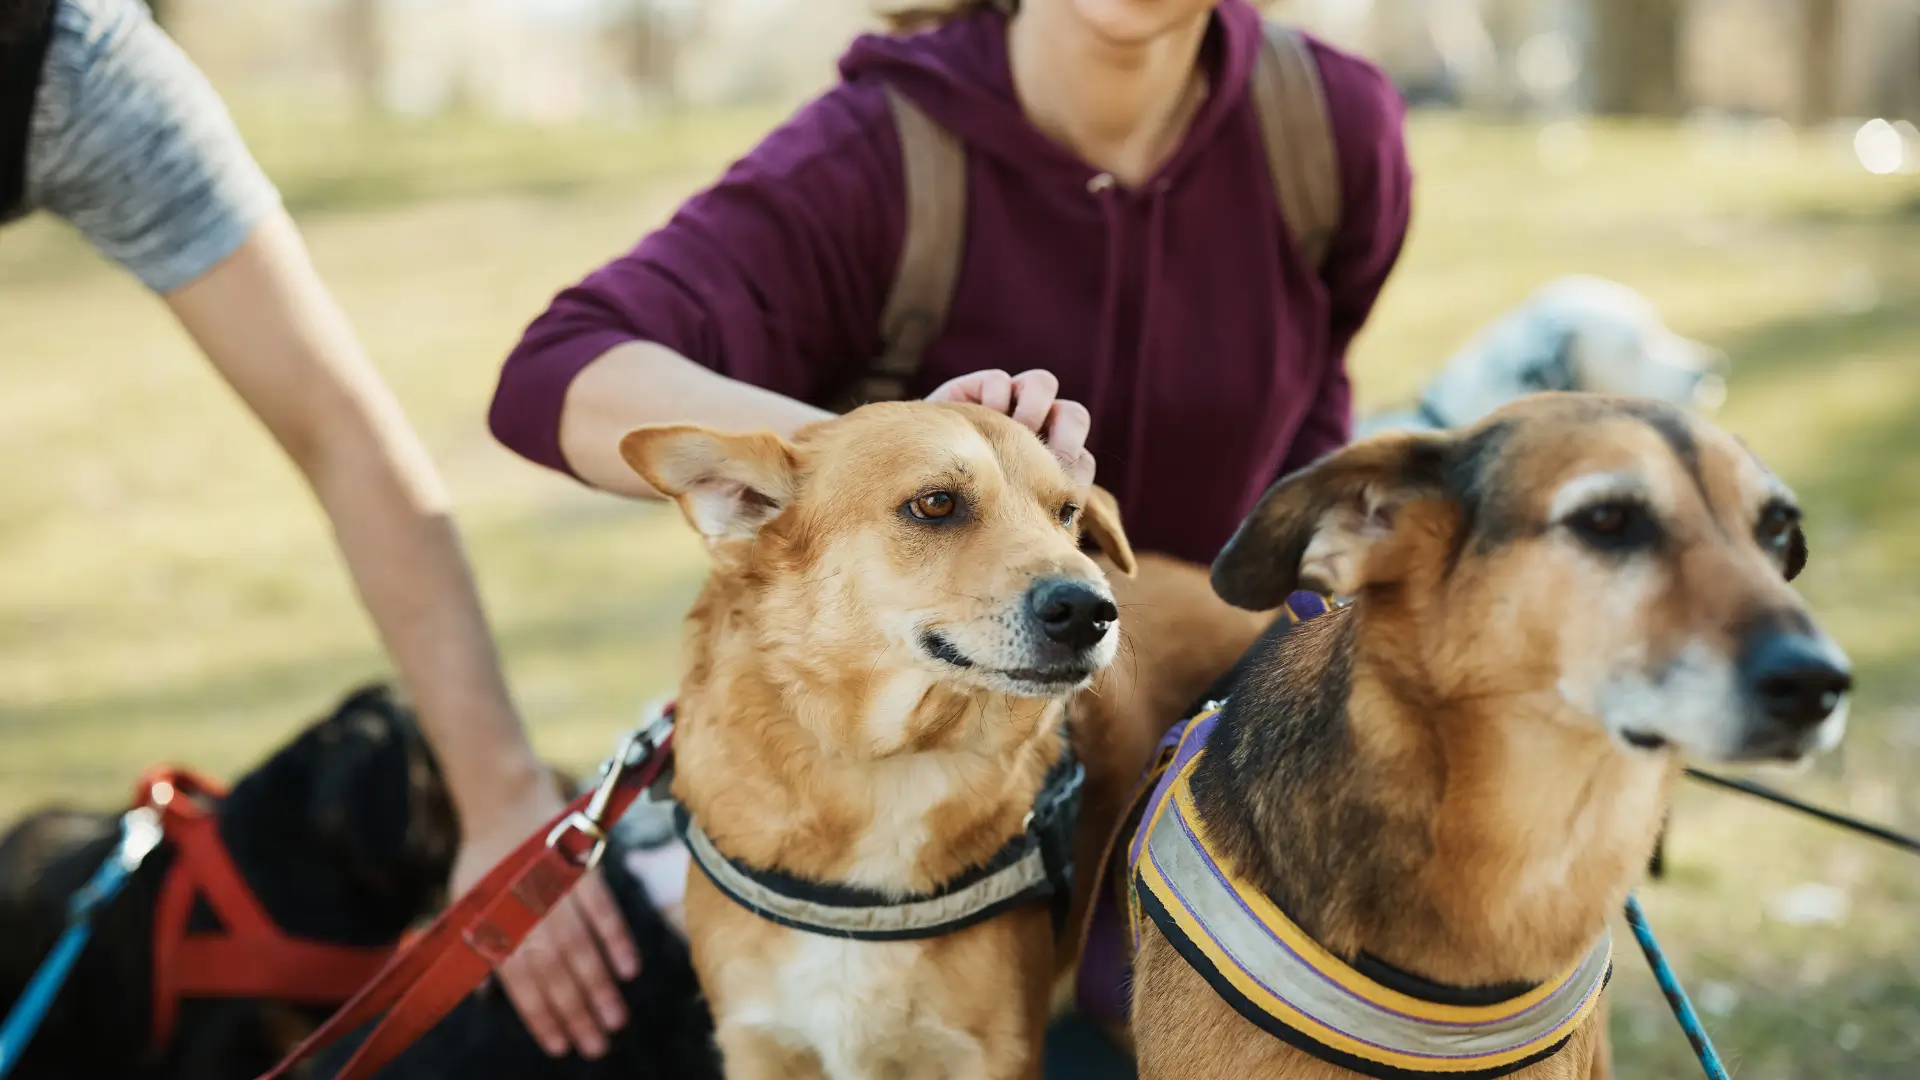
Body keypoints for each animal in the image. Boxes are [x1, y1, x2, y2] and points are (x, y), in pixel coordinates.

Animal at [622, 401, 1144, 1076]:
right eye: (935, 504)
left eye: (1067, 513)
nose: (1090, 611)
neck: (891, 765)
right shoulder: (756, 1042)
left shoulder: (996, 1051)